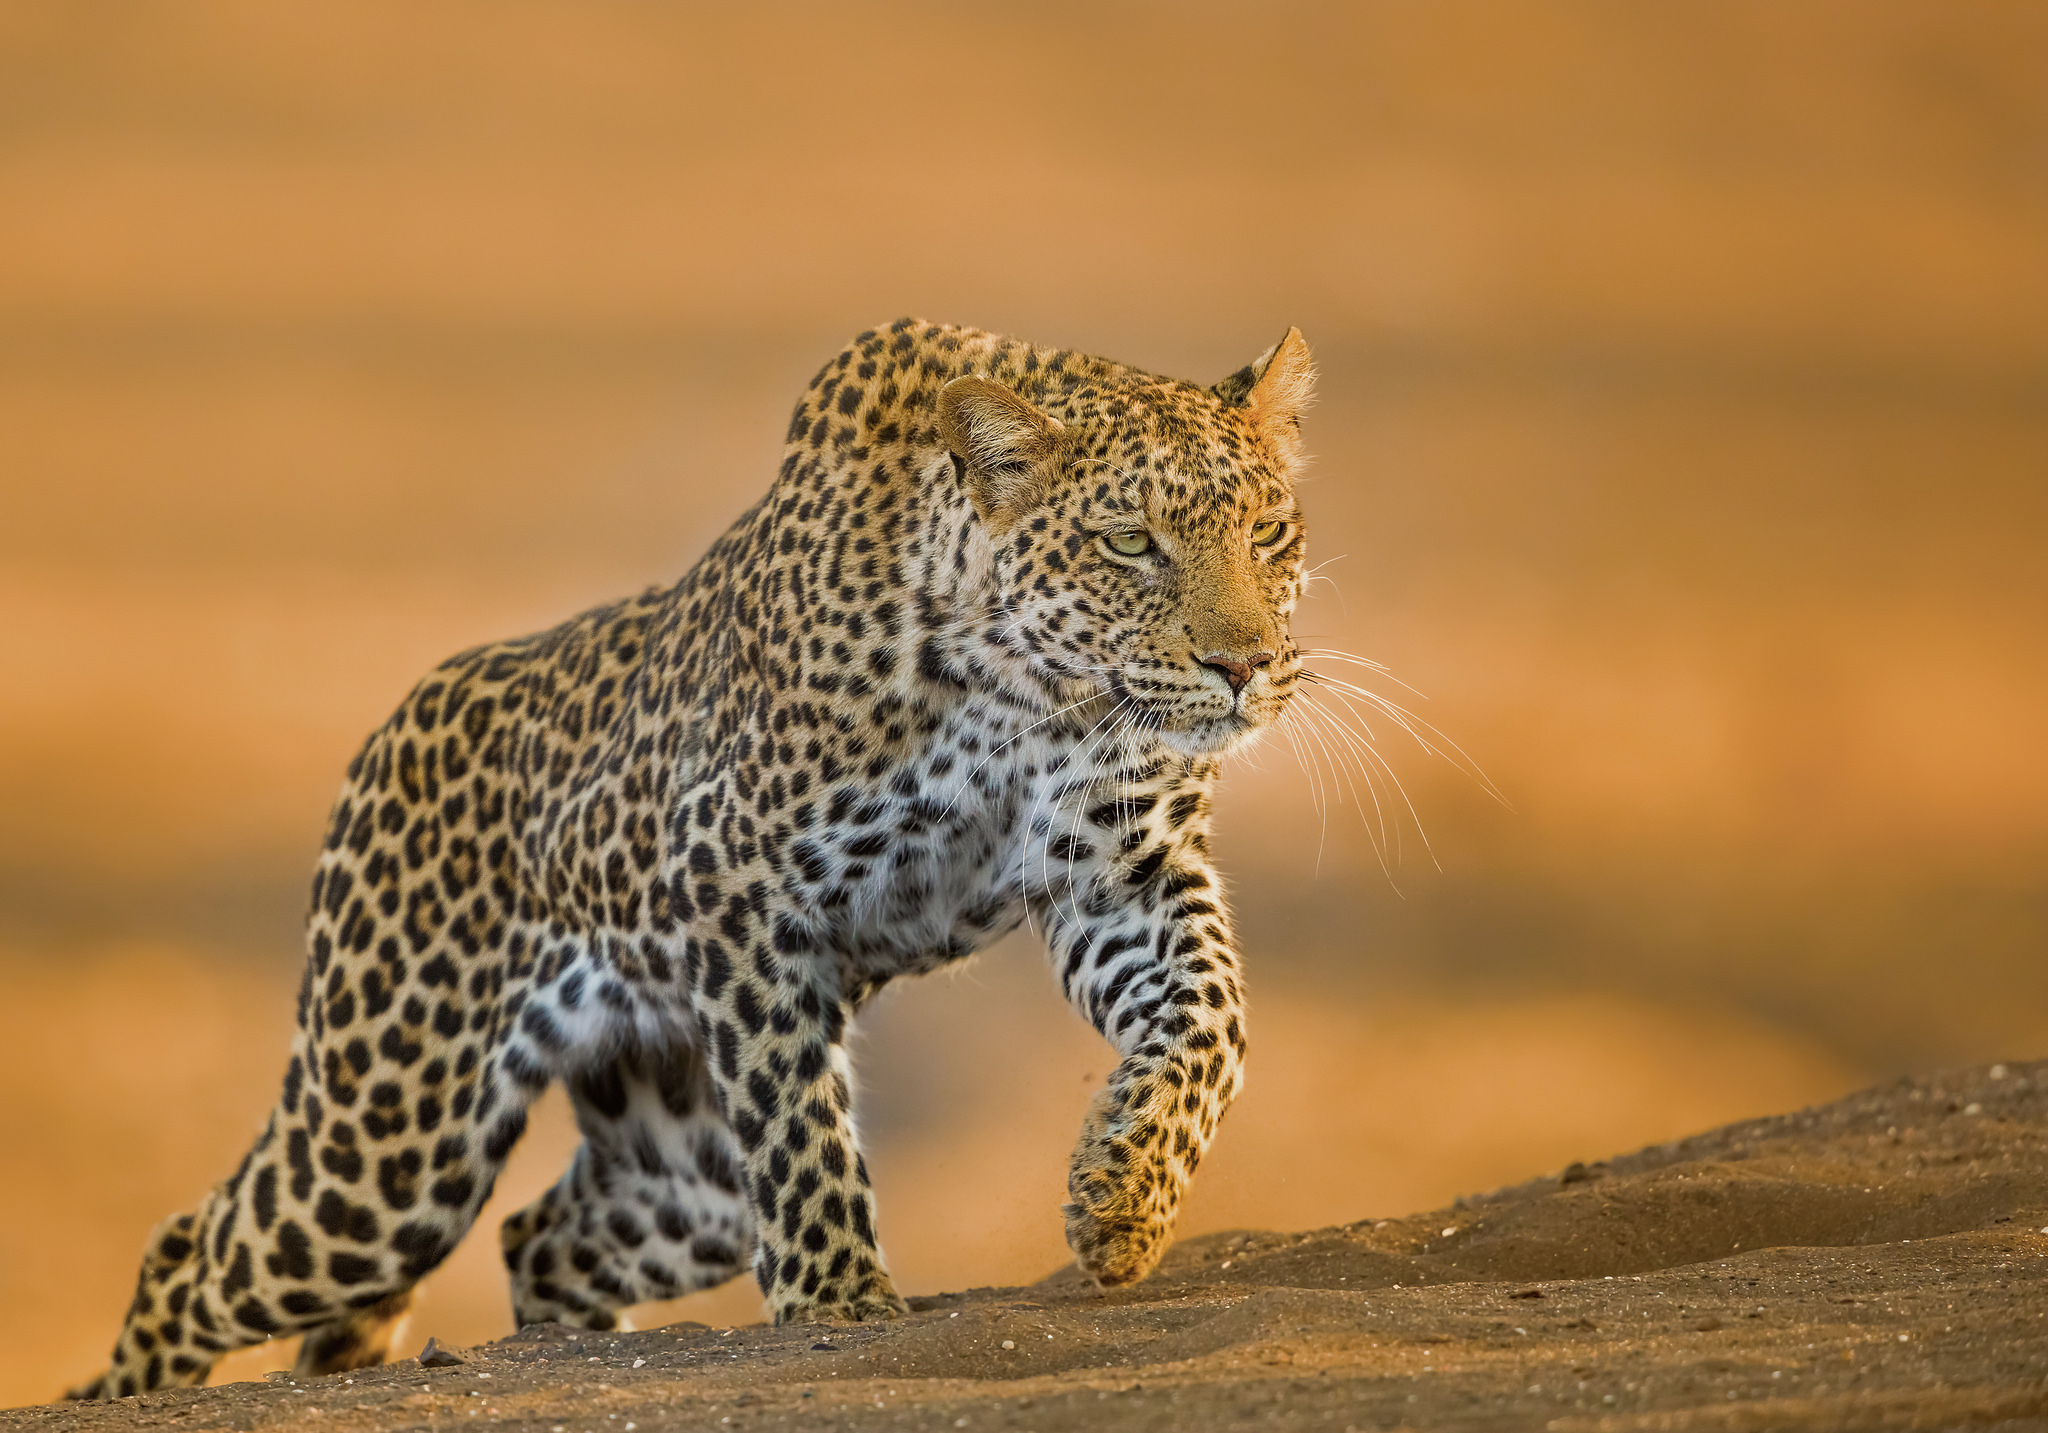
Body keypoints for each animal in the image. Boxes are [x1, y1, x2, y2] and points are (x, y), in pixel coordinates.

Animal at [68, 315, 1310, 1400]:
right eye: (1128, 542)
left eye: (1268, 534)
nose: (1244, 663)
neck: (1025, 690)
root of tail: (390, 729)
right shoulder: (738, 886)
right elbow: (800, 1125)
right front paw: (837, 1300)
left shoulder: (1122, 874)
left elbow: (1211, 1016)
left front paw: (1123, 1193)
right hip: (387, 1144)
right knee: (191, 1250)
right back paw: (123, 1386)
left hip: (679, 1166)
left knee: (537, 1236)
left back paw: (566, 1353)